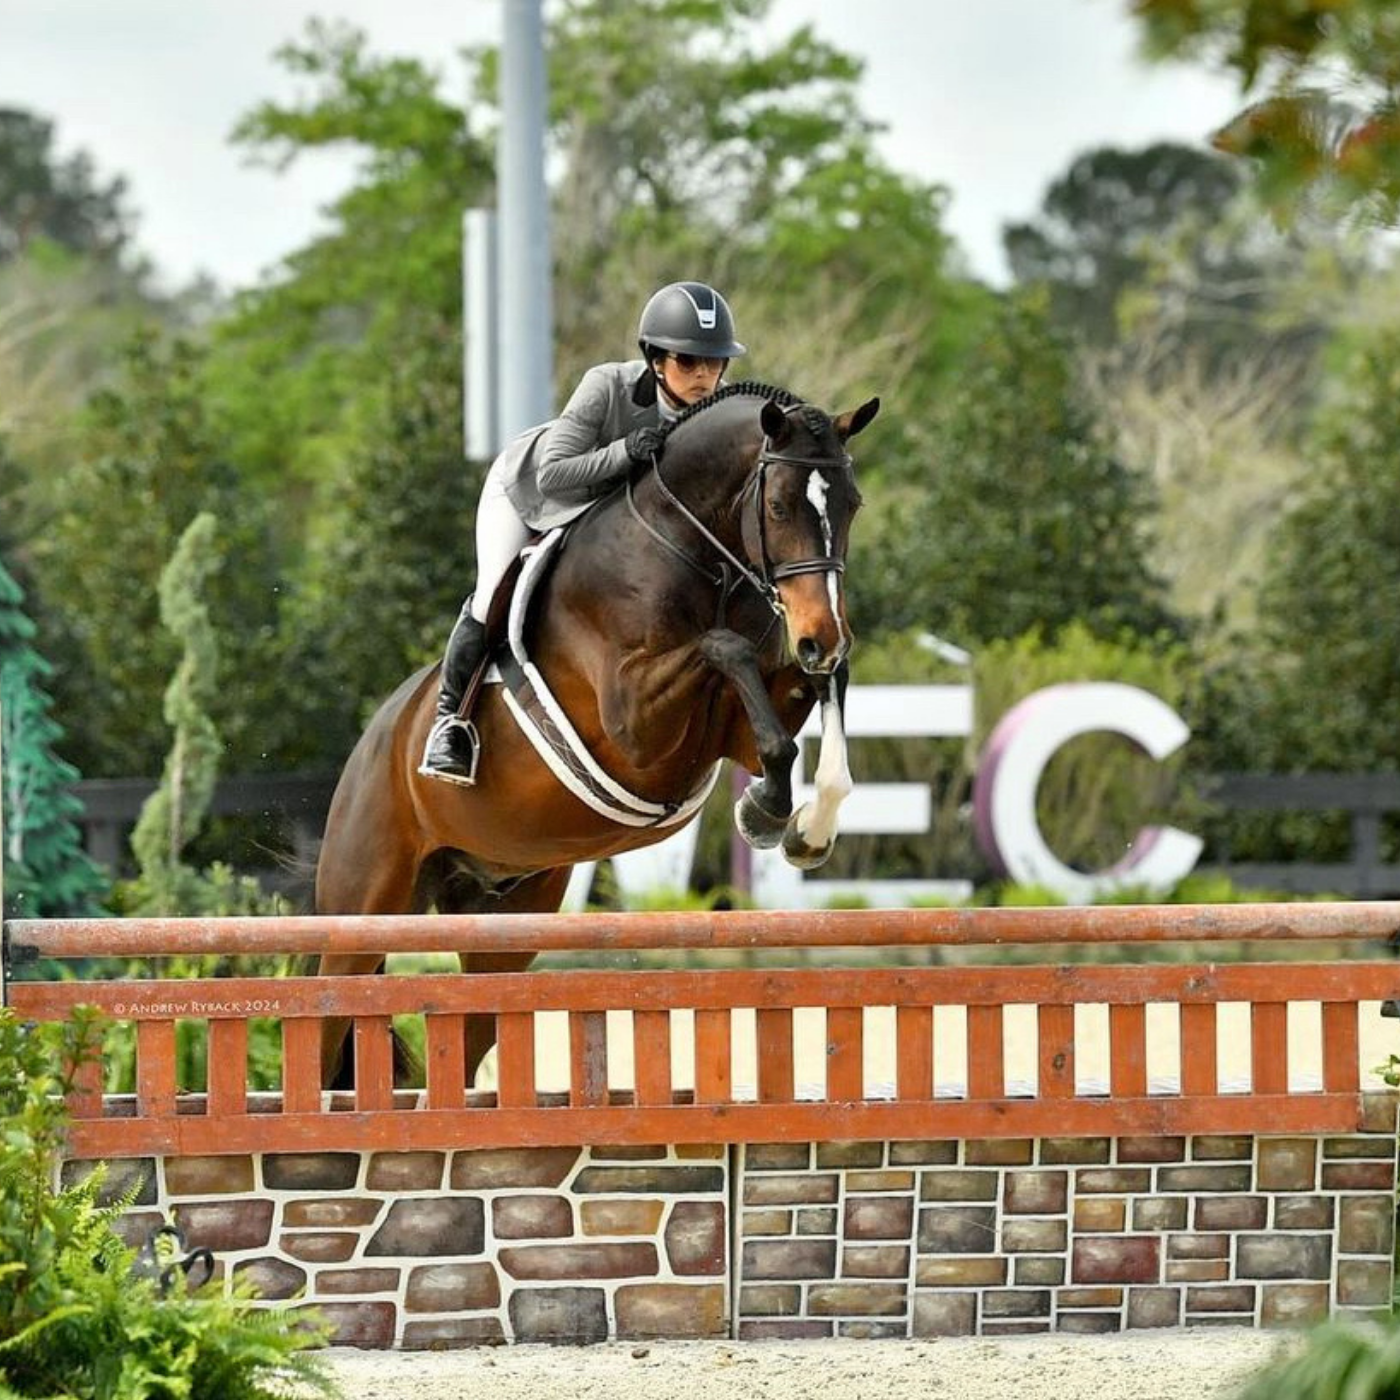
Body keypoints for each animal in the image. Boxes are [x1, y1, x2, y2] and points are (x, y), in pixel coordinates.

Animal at [314, 381, 879, 1084]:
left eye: (852, 504)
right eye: (777, 506)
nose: (822, 637)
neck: (690, 547)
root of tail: (371, 745)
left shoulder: (742, 720)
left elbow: (803, 709)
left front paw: (804, 826)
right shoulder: (633, 723)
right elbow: (727, 649)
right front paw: (770, 809)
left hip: (501, 925)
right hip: (360, 912)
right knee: (324, 1026)